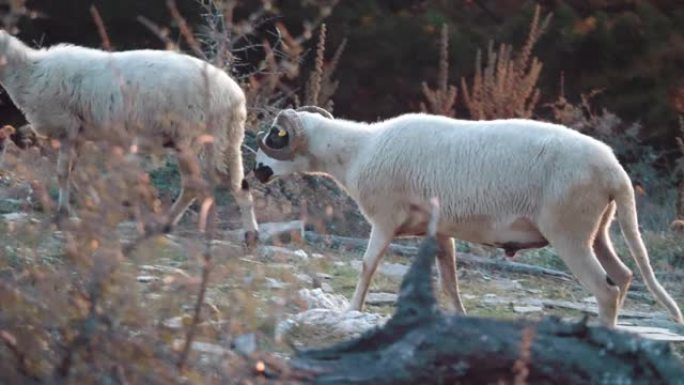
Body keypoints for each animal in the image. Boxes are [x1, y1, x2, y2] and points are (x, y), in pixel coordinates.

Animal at [0, 30, 260, 240]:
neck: (29, 71)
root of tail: (234, 96)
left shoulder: (68, 128)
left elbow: (63, 173)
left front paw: (63, 213)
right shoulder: (80, 134)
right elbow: (78, 173)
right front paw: (90, 205)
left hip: (189, 138)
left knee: (194, 185)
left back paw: (165, 224)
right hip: (227, 140)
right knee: (238, 183)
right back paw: (251, 235)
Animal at [254, 106, 680, 328]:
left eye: (275, 137)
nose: (254, 173)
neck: (357, 149)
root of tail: (614, 171)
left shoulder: (385, 219)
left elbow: (367, 266)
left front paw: (353, 311)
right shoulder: (440, 230)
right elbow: (450, 280)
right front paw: (458, 316)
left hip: (569, 232)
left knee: (605, 289)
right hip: (599, 230)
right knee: (624, 277)